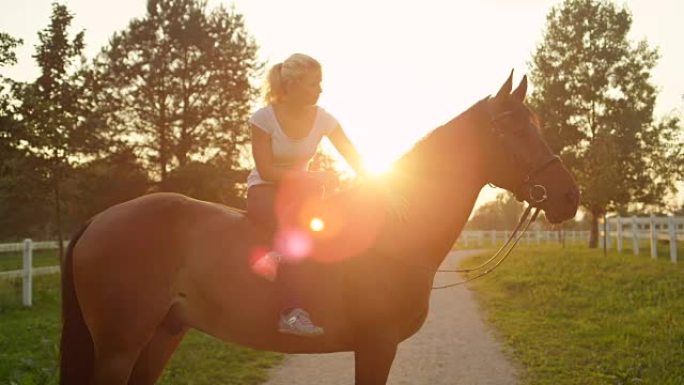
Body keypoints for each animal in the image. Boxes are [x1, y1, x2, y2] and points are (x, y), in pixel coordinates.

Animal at [61, 73, 580, 384]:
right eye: (514, 128)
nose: (569, 197)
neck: (393, 232)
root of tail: (100, 220)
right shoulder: (376, 345)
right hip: (119, 347)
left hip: (162, 335)